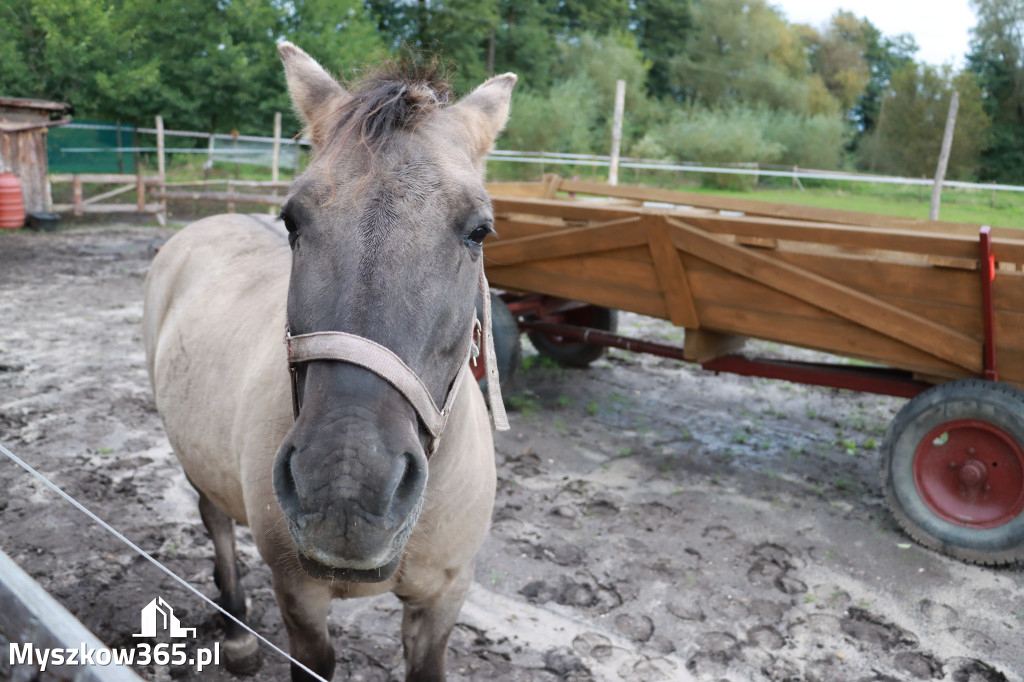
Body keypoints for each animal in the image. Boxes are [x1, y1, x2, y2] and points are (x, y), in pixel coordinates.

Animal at [141, 43, 516, 679]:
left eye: (479, 231)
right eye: (292, 219)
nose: (345, 490)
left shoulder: (444, 600)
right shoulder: (301, 598)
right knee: (215, 520)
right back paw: (237, 633)